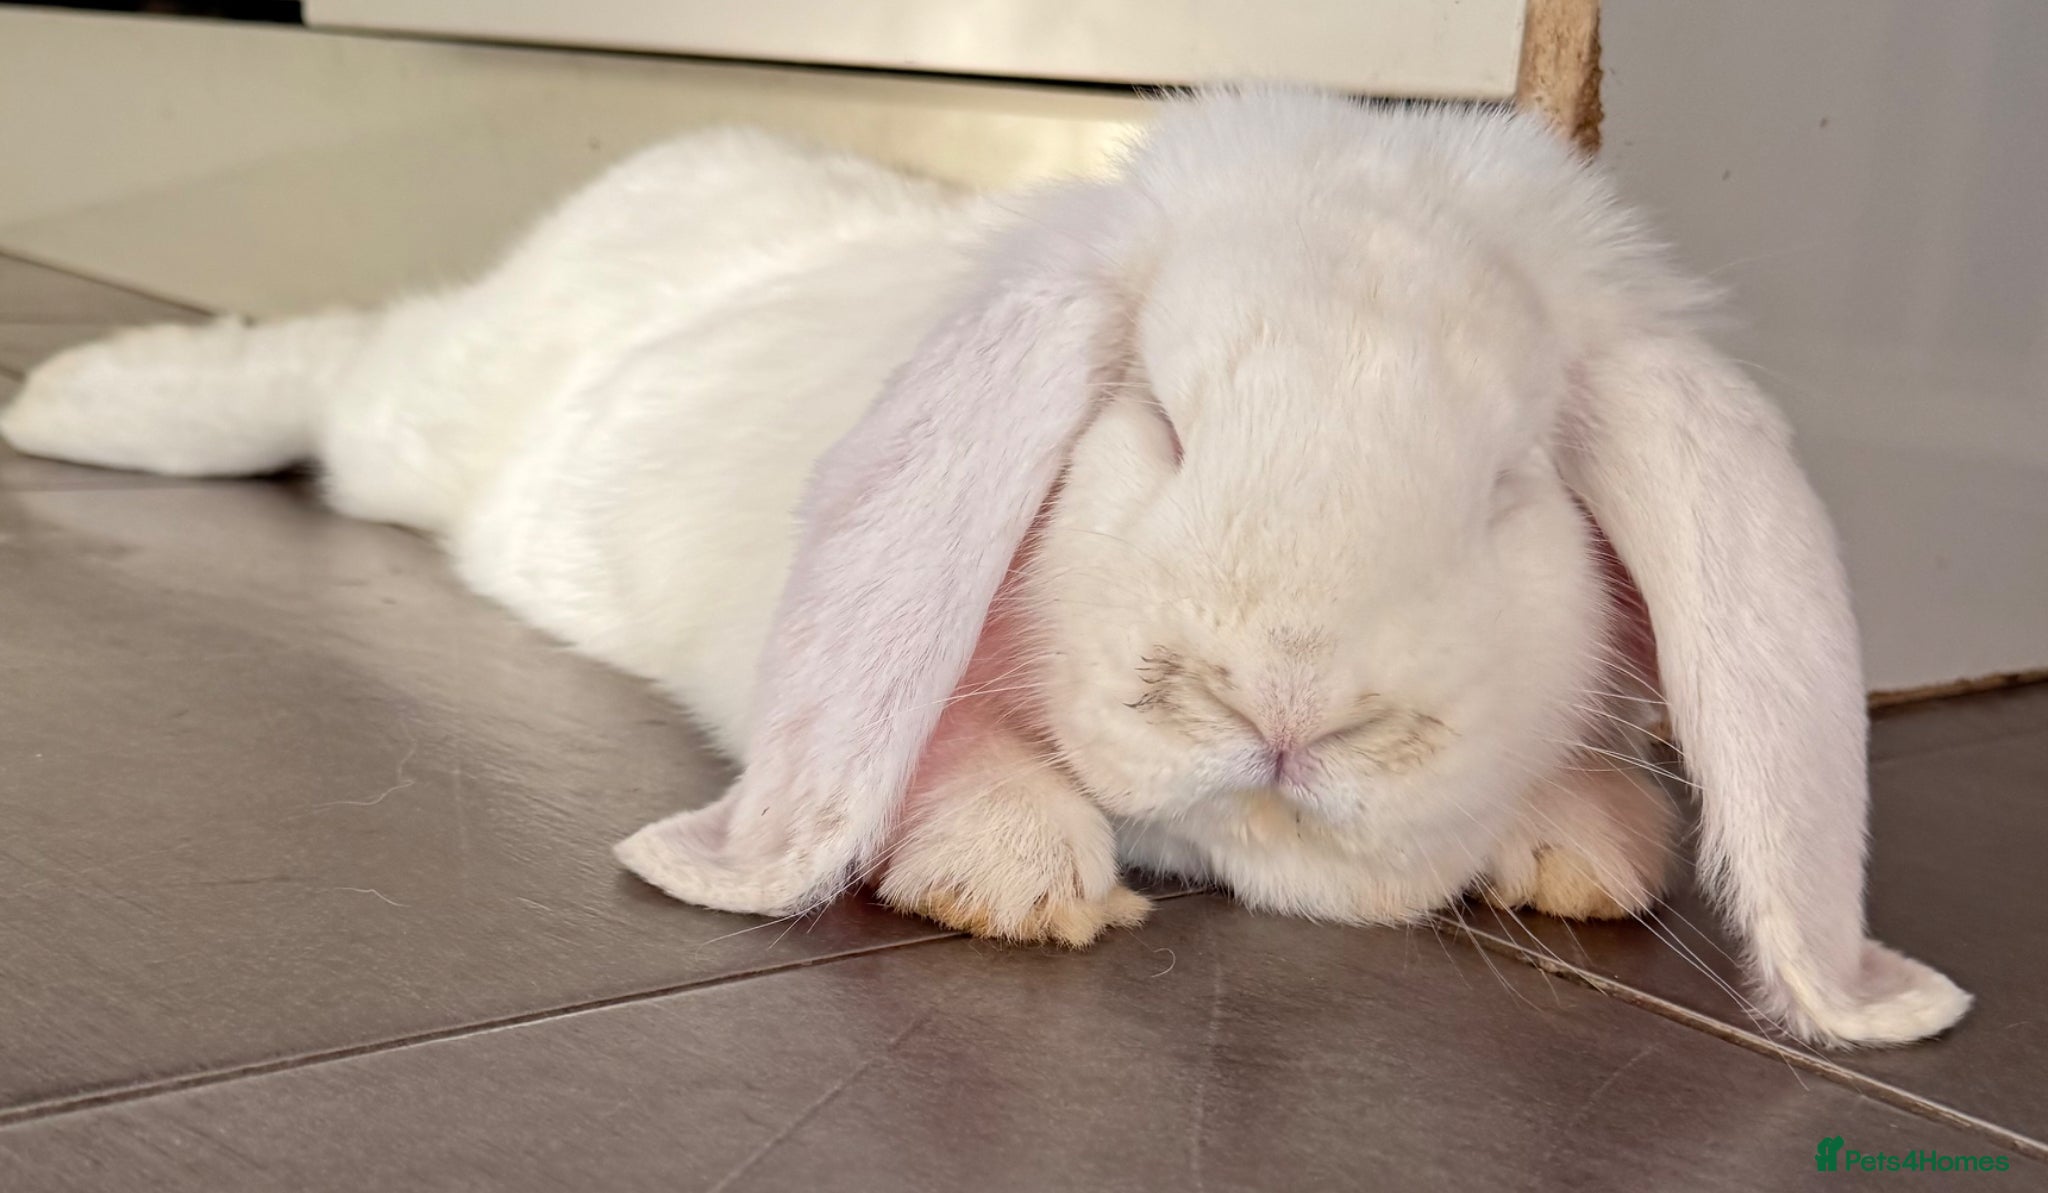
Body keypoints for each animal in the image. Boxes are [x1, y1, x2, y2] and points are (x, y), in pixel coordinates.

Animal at [0, 87, 1969, 1047]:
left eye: (1509, 486)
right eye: (1157, 419)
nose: (1287, 700)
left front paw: (1578, 844)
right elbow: (921, 734)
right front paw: (1016, 877)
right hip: (421, 417)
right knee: (337, 376)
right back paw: (76, 402)